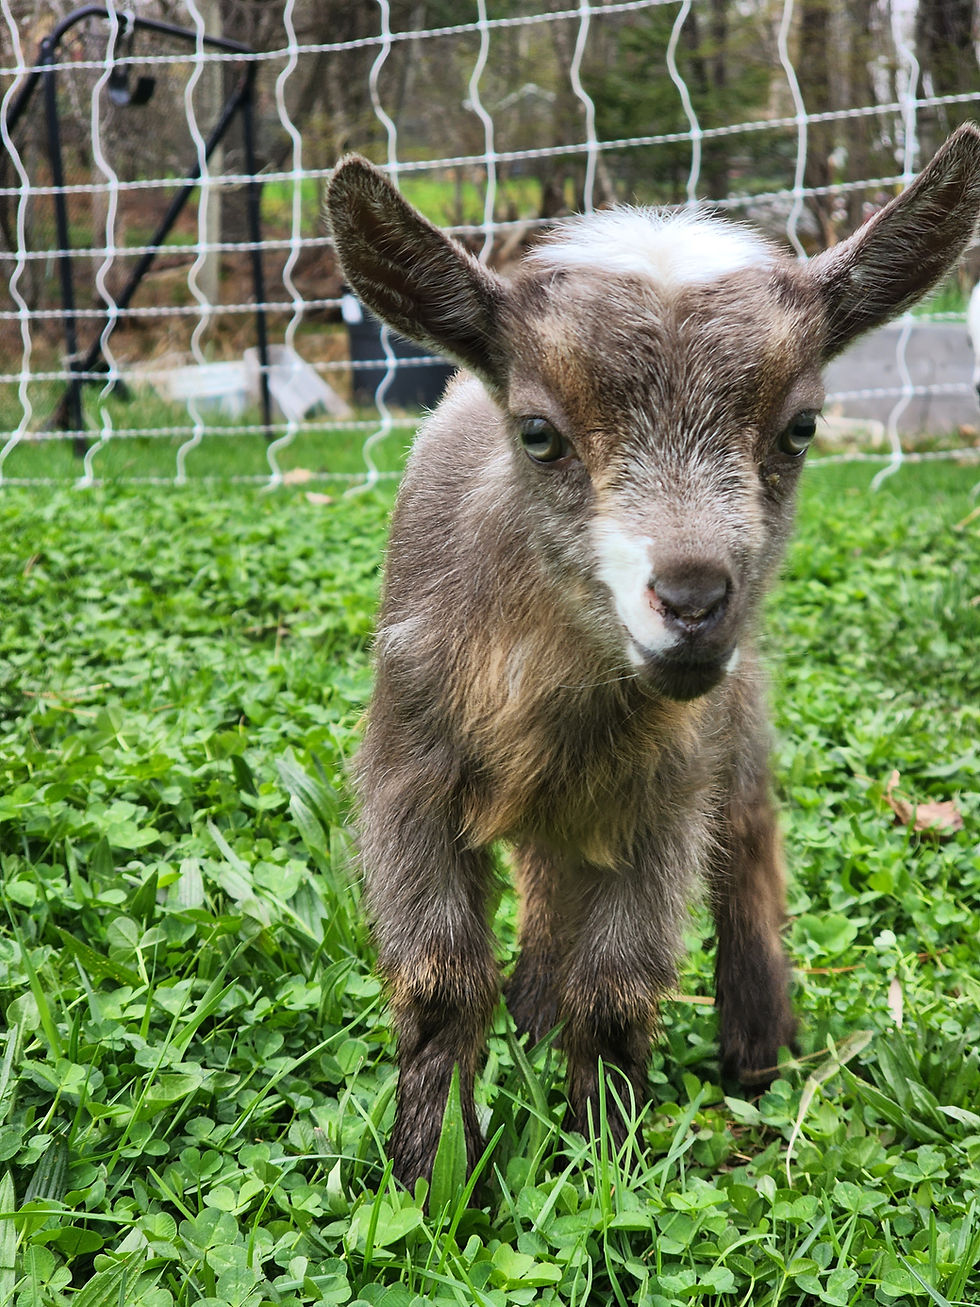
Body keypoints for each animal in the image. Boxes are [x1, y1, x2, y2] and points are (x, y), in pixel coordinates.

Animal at [324, 124, 980, 1189]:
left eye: (799, 428)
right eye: (538, 432)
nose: (693, 601)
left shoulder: (665, 788)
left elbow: (617, 993)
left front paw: (606, 1163)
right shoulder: (407, 770)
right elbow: (439, 986)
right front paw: (428, 1174)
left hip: (735, 726)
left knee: (746, 840)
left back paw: (757, 1047)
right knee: (552, 871)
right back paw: (531, 1011)